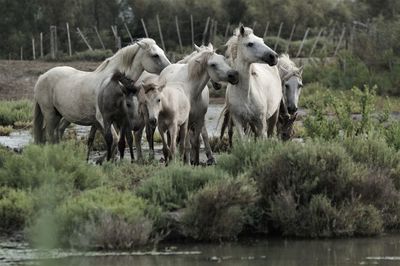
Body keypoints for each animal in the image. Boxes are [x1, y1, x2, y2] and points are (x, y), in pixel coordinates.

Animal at [34, 38, 170, 144]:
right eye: (155, 55)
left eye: (162, 52)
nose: (169, 68)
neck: (112, 83)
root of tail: (42, 77)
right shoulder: (103, 119)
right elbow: (114, 140)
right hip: (50, 114)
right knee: (49, 135)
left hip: (62, 115)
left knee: (56, 132)